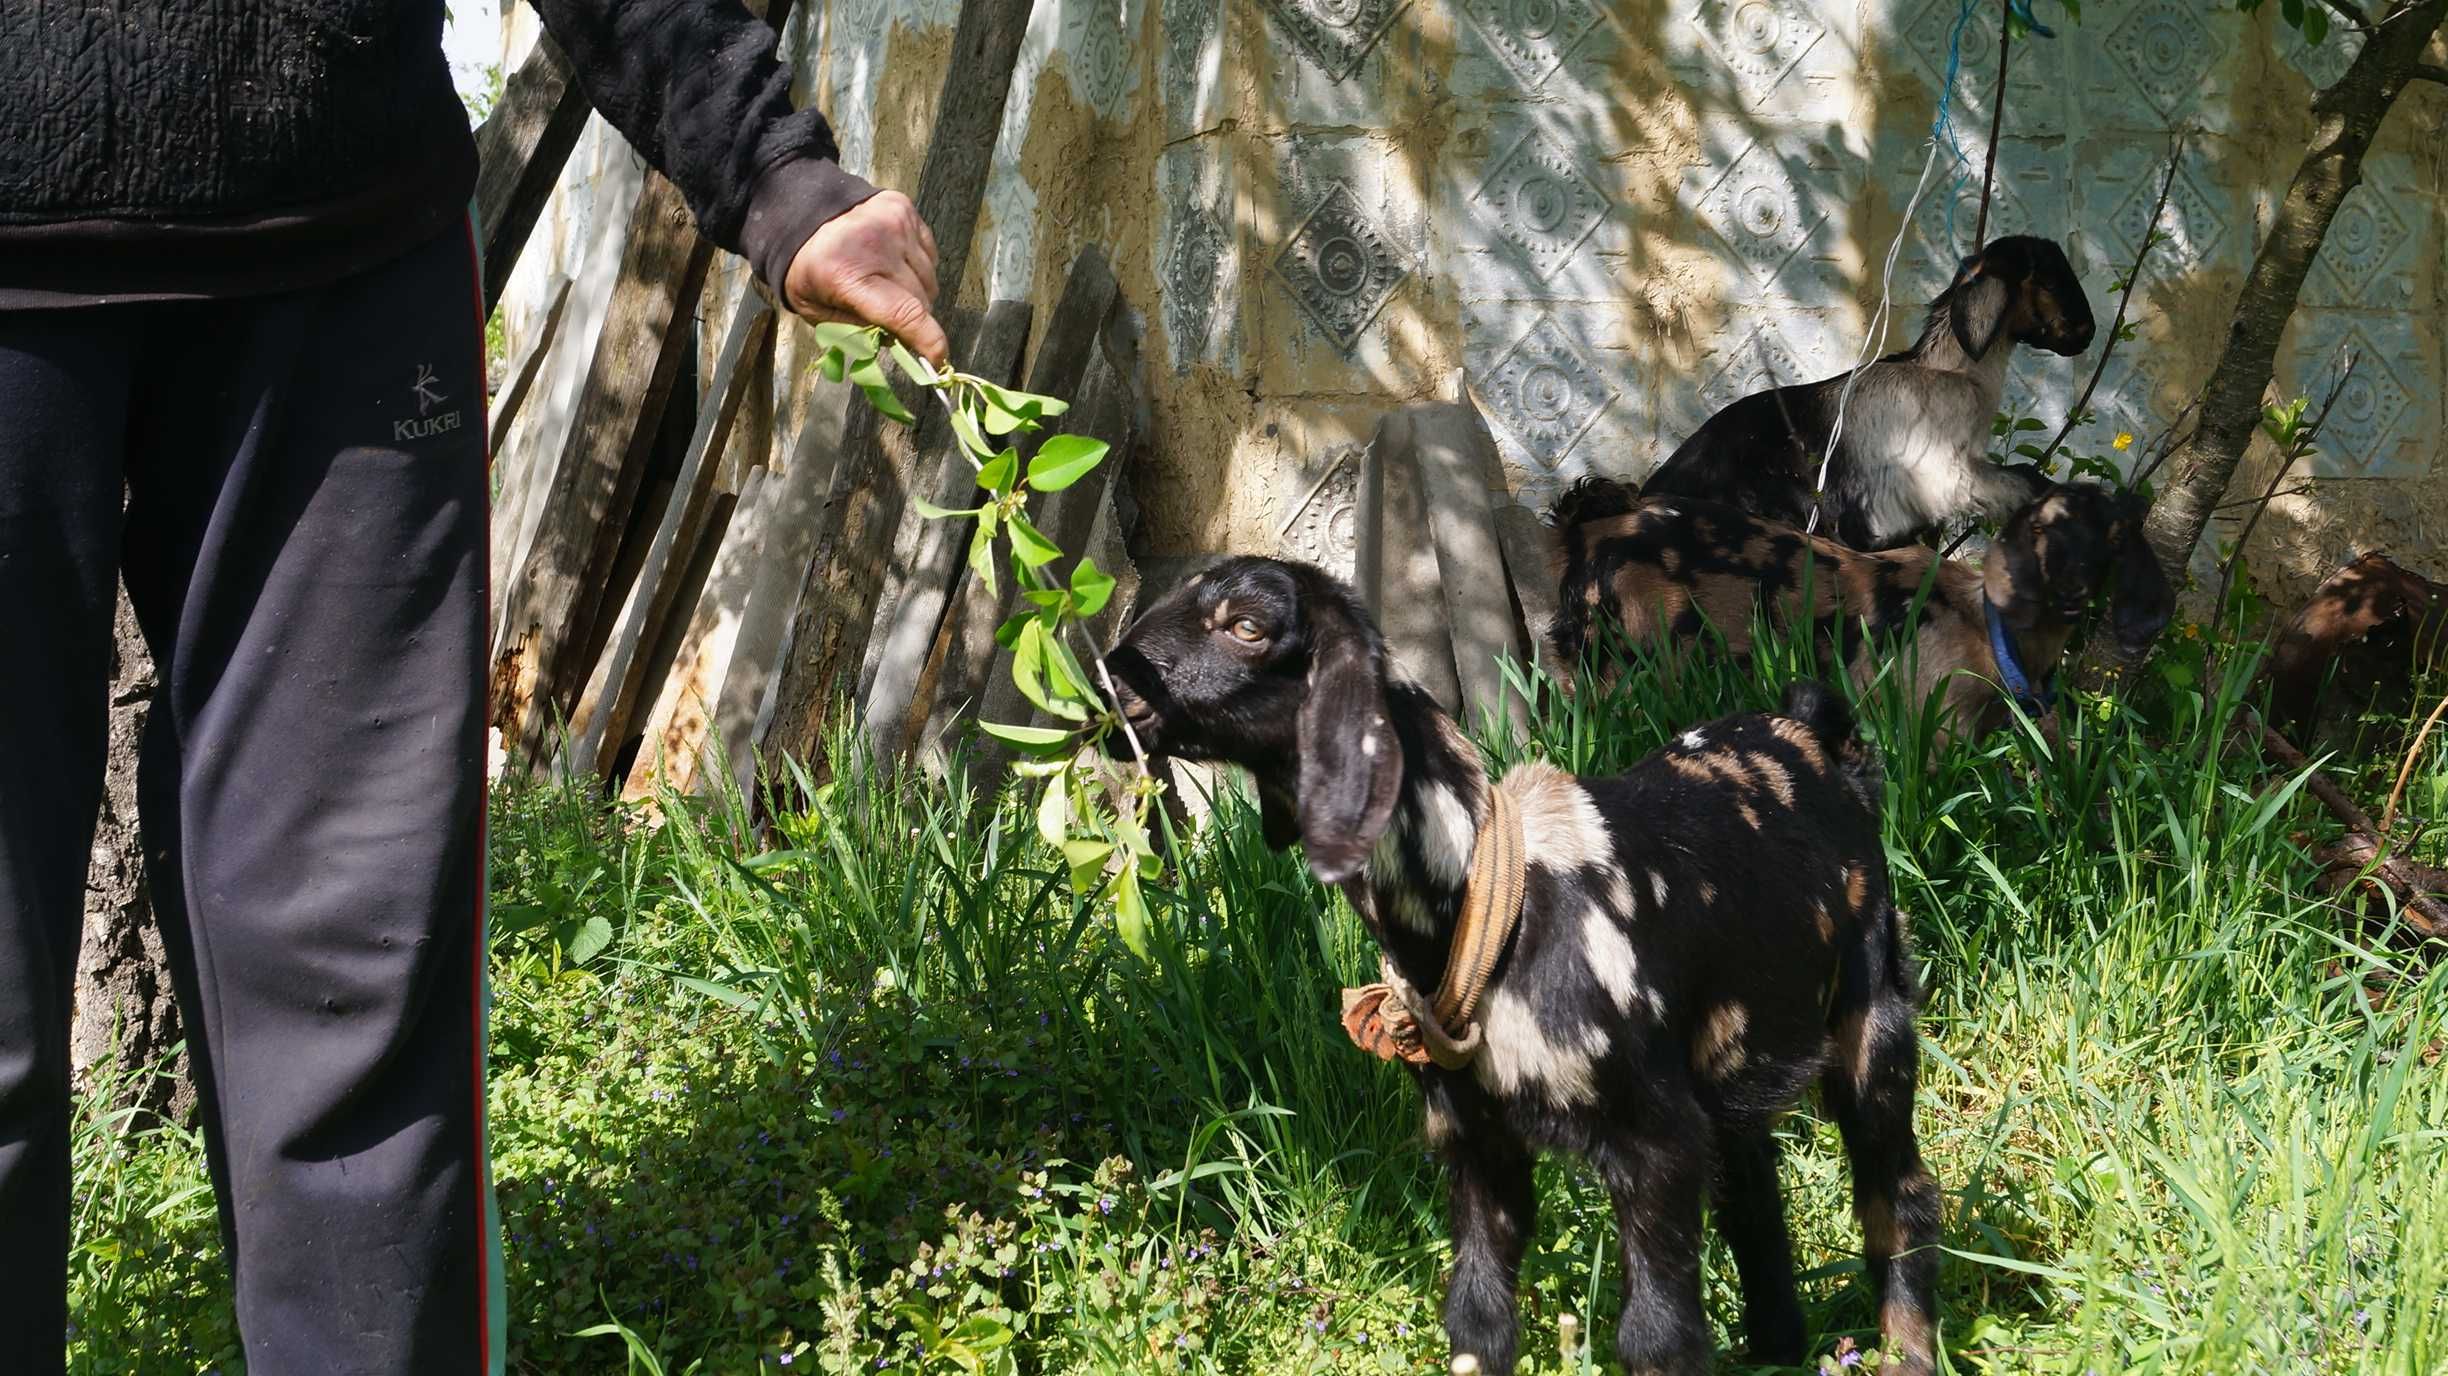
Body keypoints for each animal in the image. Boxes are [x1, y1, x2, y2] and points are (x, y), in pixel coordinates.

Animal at [1106, 558, 1929, 1371]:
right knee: (1755, 1195)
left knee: (1900, 1197)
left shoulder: (1657, 1141)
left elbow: (1659, 1335)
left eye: (1247, 626)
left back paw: (1906, 1349)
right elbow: (1476, 1317)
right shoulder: (1474, 1140)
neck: (1490, 906)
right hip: (1731, 1063)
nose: (1114, 677)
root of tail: (1817, 734)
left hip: (1873, 1018)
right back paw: (1777, 1347)